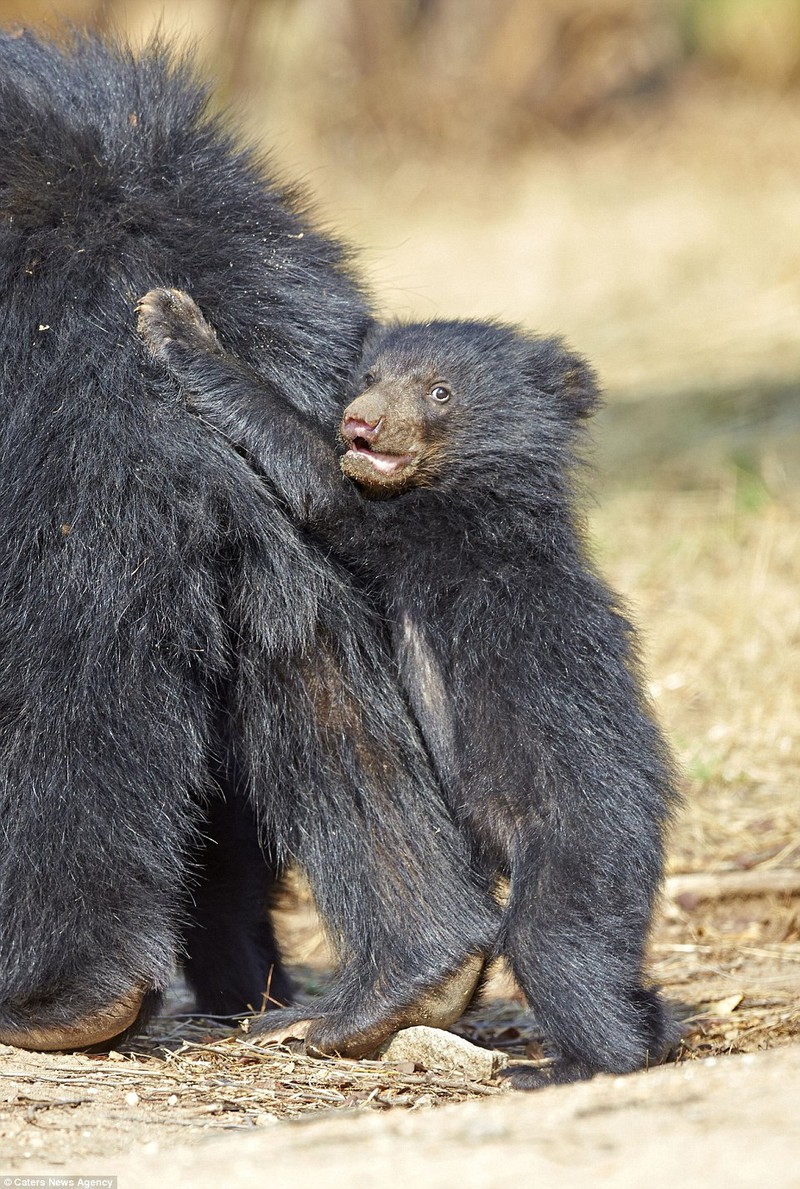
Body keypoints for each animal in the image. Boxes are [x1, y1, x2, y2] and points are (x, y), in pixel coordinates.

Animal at [0, 30, 496, 1051]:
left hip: (75, 470)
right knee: (311, 644)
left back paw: (65, 1001)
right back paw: (415, 974)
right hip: (310, 432)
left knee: (74, 676)